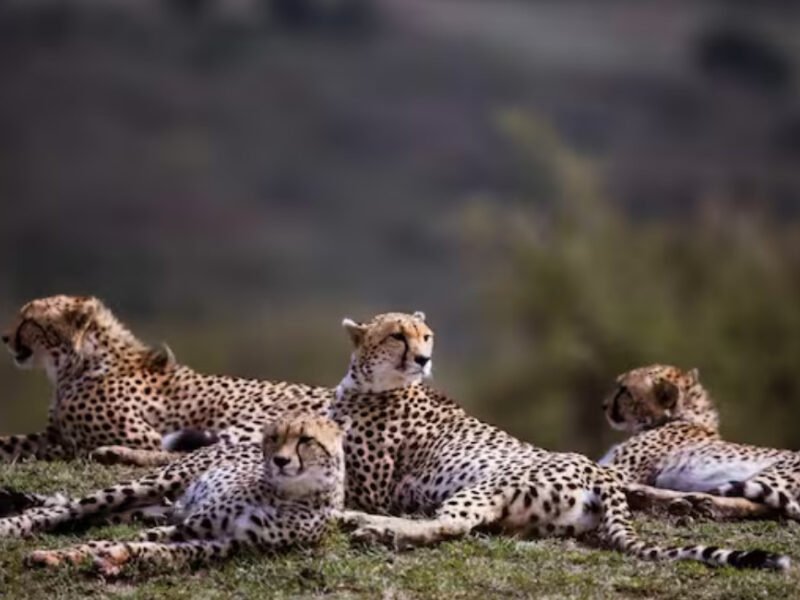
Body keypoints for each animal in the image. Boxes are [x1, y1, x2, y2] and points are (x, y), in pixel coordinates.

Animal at [12, 415, 345, 574]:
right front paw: (60, 556)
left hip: (145, 509)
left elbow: (155, 548)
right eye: (274, 438)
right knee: (67, 509)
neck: (285, 495)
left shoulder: (226, 543)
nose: (280, 461)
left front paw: (115, 559)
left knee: (86, 516)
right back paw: (13, 526)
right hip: (154, 483)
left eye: (305, 440)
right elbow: (104, 542)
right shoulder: (189, 526)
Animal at [599, 364, 800, 521]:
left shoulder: (618, 471)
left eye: (624, 390)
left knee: (755, 503)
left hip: (774, 473)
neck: (687, 416)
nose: (603, 405)